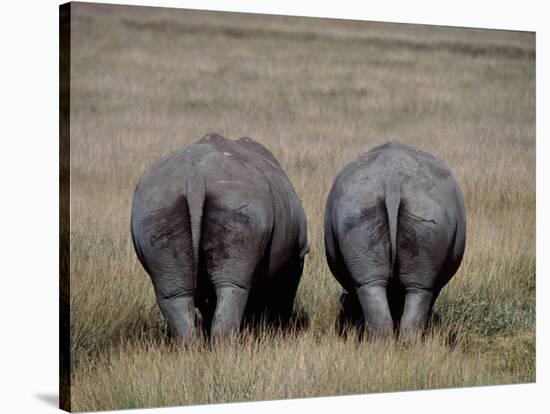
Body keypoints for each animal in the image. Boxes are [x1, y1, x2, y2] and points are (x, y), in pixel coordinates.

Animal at [130, 134, 310, 342]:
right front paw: (279, 329)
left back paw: (192, 346)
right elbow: (284, 294)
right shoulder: (297, 255)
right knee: (233, 286)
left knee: (174, 292)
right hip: (238, 200)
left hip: (156, 207)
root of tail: (195, 178)